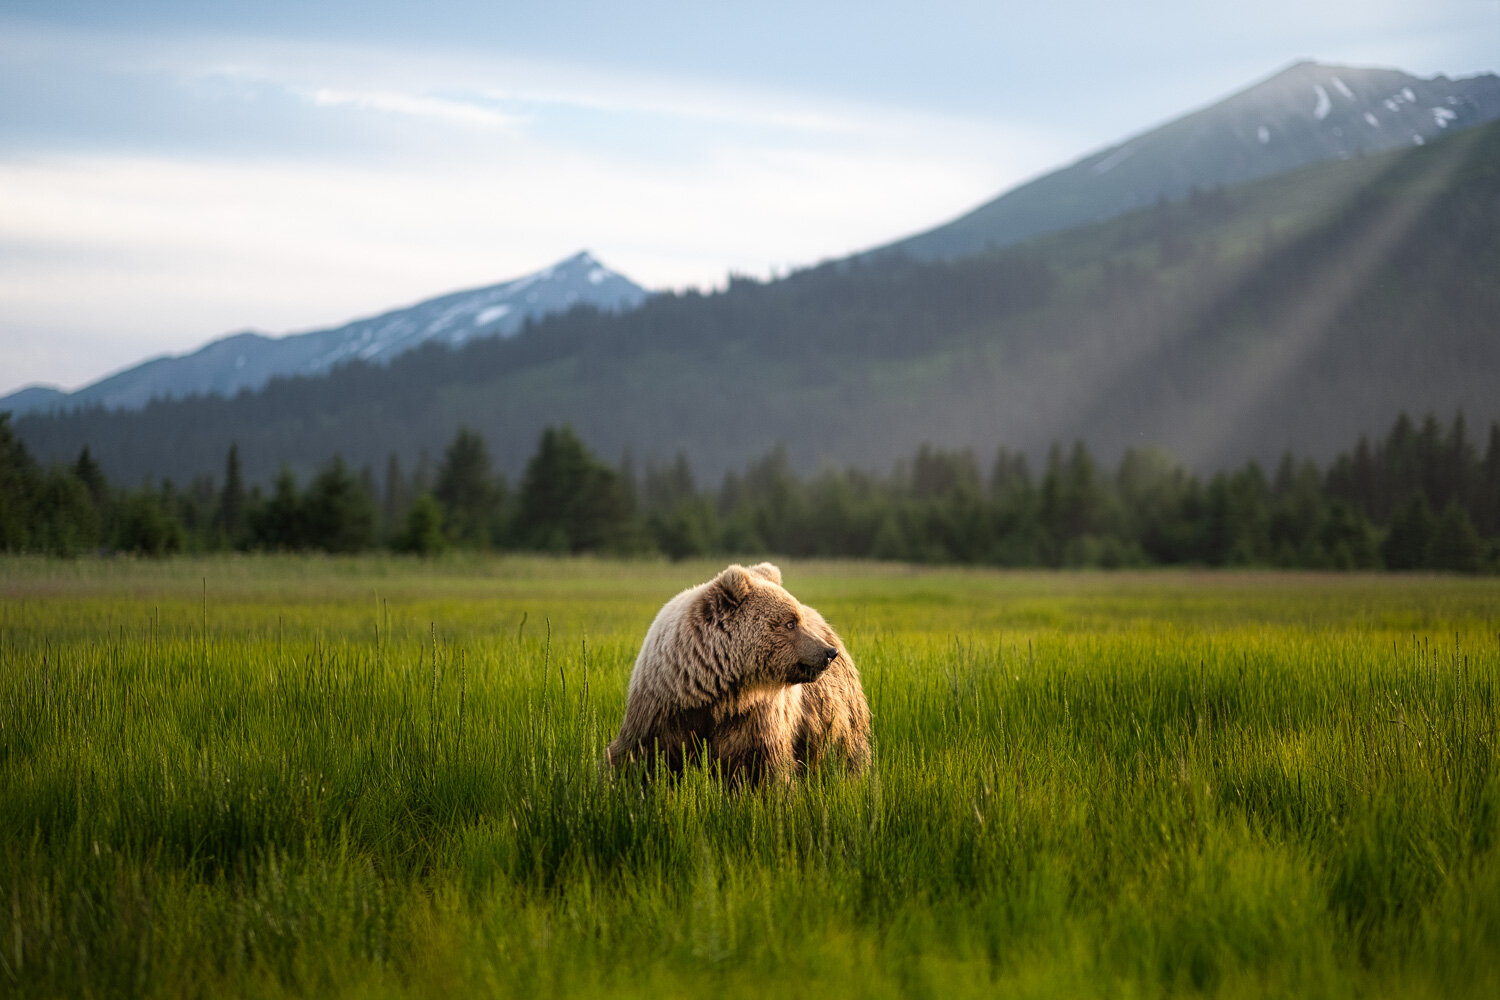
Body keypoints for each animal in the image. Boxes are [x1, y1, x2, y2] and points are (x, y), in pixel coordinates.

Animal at [606, 563, 876, 779]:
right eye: (790, 623)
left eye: (797, 620)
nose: (829, 652)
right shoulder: (663, 709)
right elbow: (641, 756)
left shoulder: (752, 717)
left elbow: (760, 766)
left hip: (834, 713)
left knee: (847, 752)